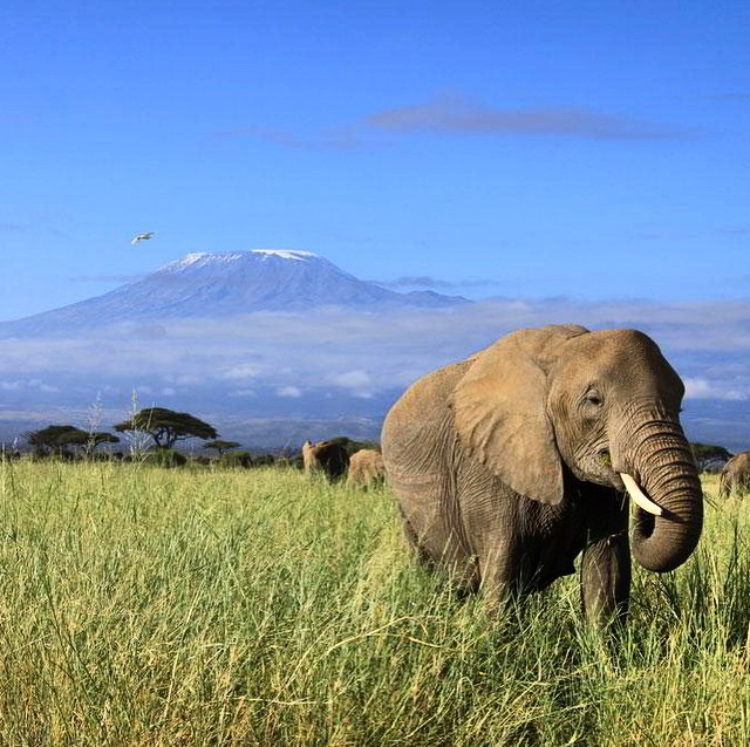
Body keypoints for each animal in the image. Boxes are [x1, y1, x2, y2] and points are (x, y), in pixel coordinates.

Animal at [381, 324, 703, 628]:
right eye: (594, 400)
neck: (560, 352)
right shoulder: (489, 464)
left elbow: (607, 567)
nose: (651, 511)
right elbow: (502, 568)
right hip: (405, 507)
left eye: (680, 405)